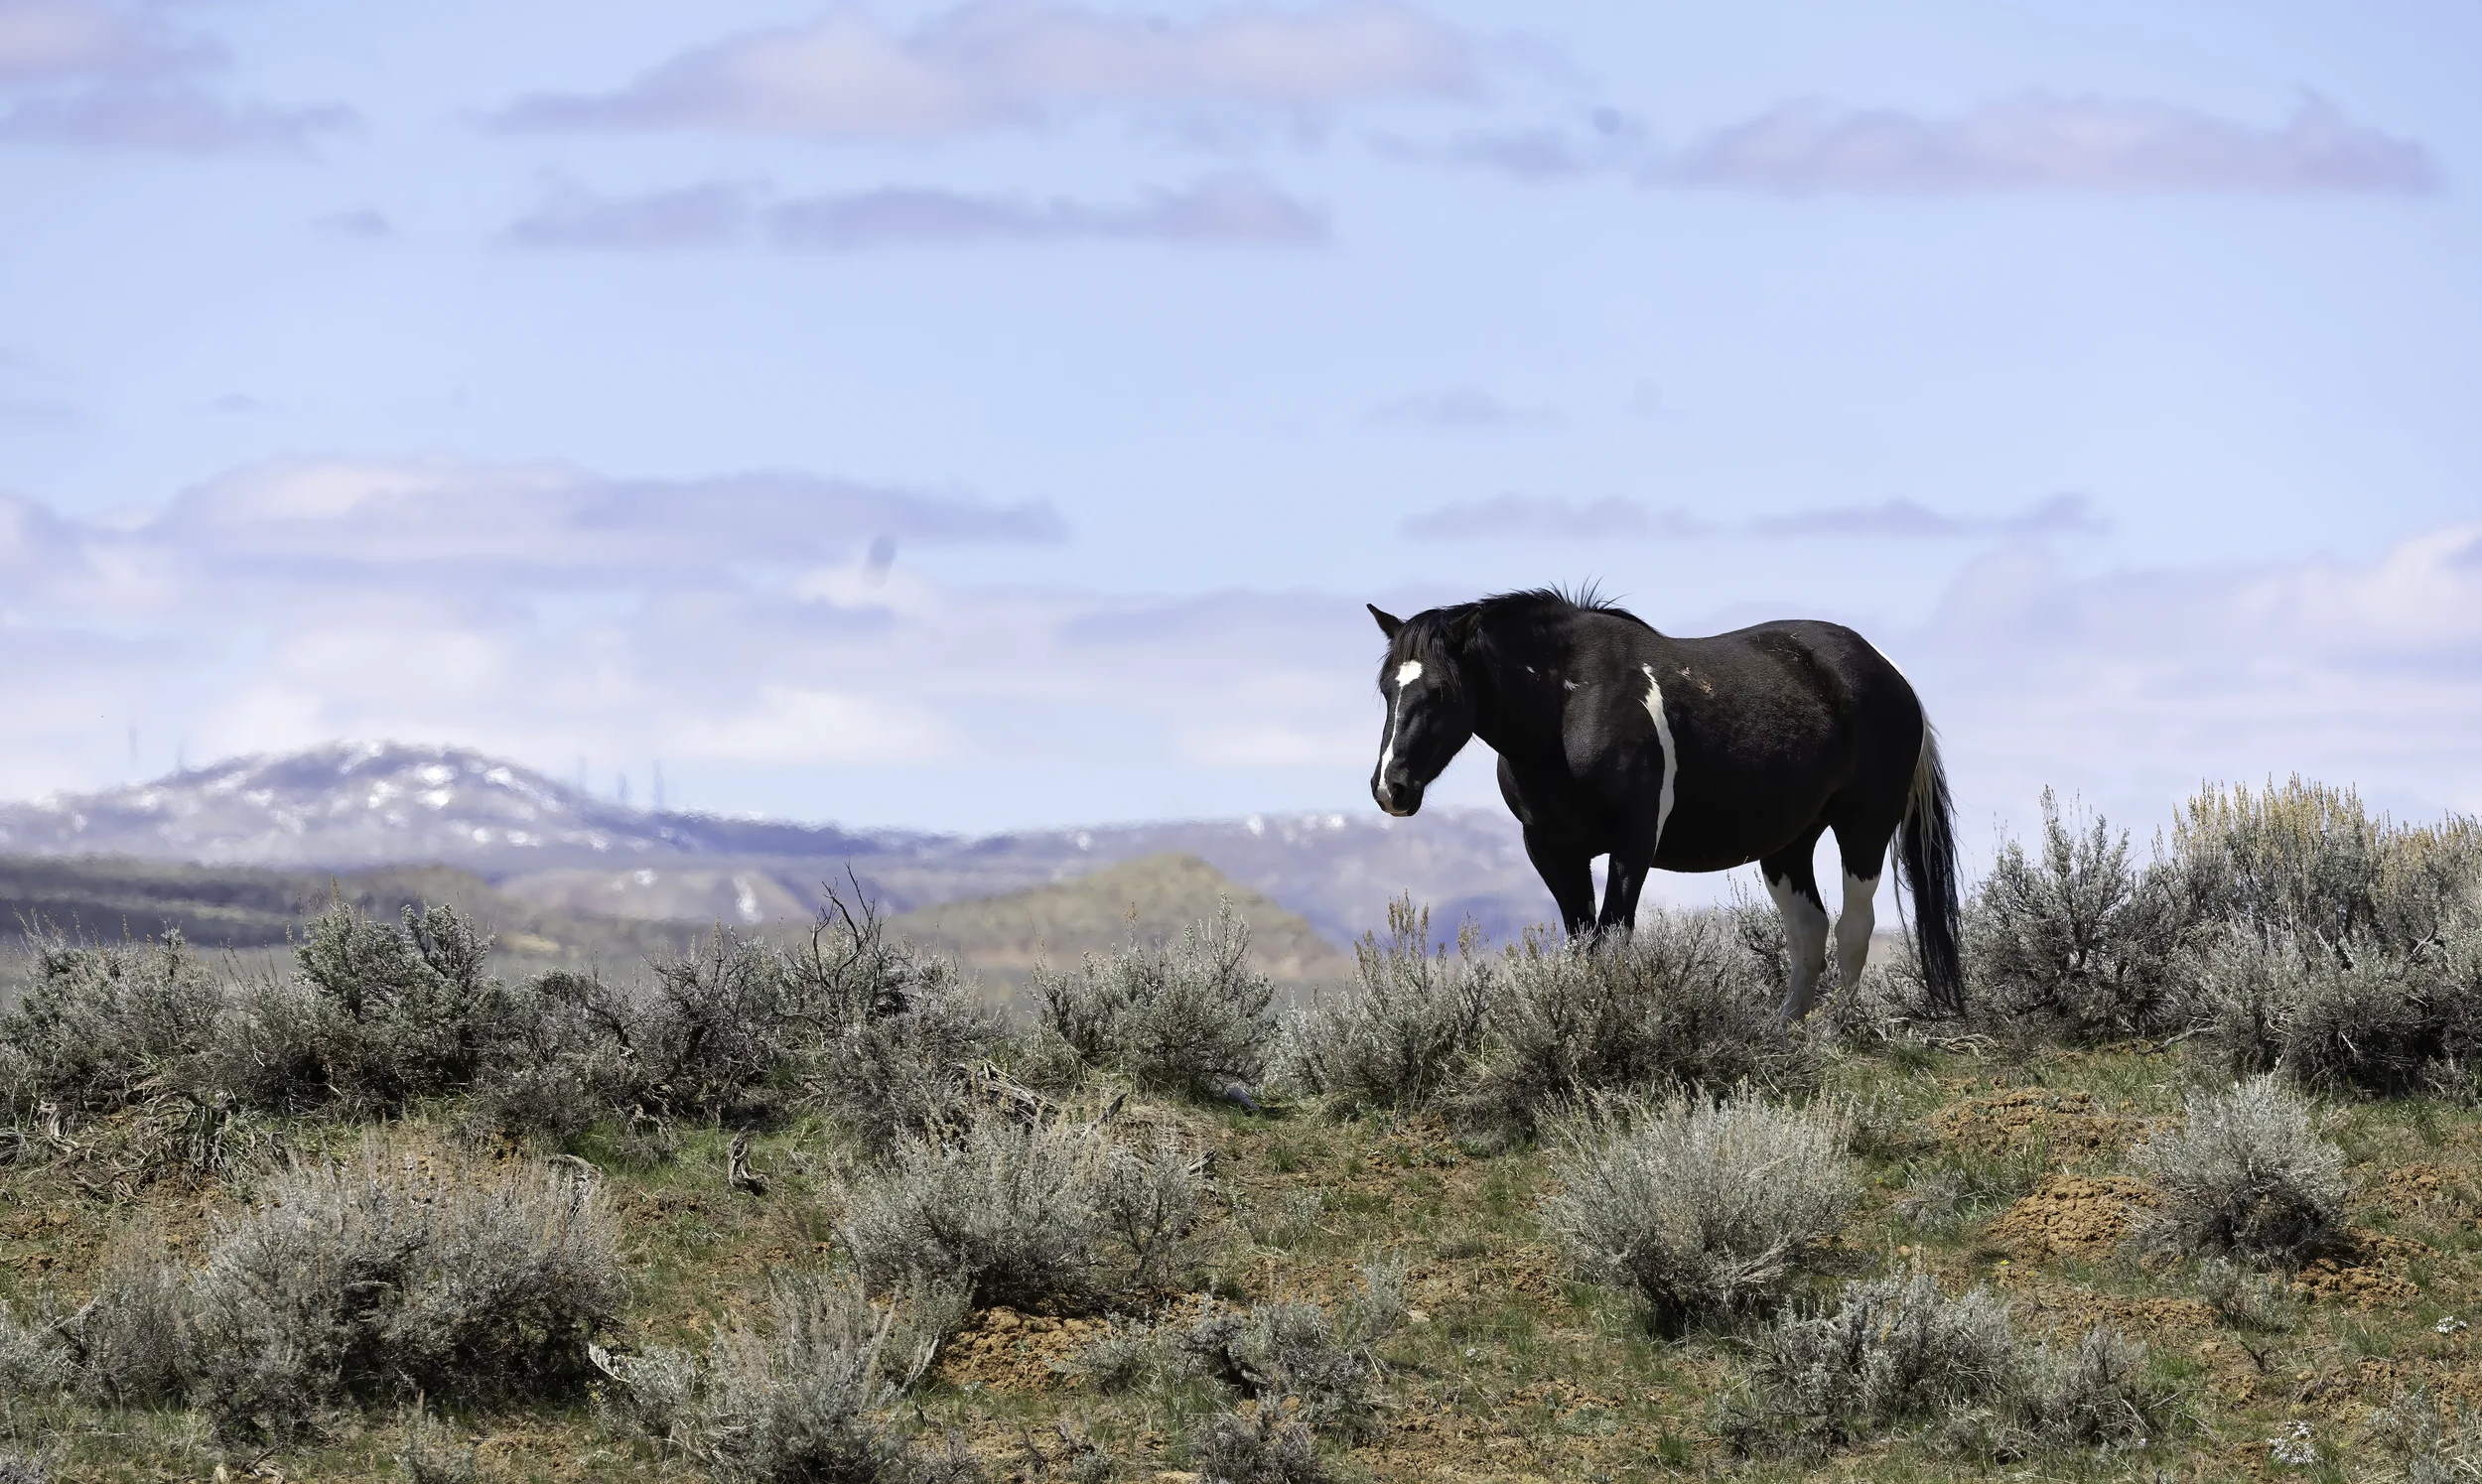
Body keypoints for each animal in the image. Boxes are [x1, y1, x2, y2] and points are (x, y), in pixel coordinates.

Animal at [1365, 588, 1962, 1019]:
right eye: (1387, 690)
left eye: (1440, 692)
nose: (1391, 788)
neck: (1570, 707)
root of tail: (1889, 672)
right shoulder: (1552, 850)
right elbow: (1583, 945)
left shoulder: (1633, 844)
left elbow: (1612, 942)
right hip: (1789, 844)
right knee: (1809, 932)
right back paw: (1785, 1028)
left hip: (1864, 828)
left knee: (1852, 928)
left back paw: (1836, 1028)